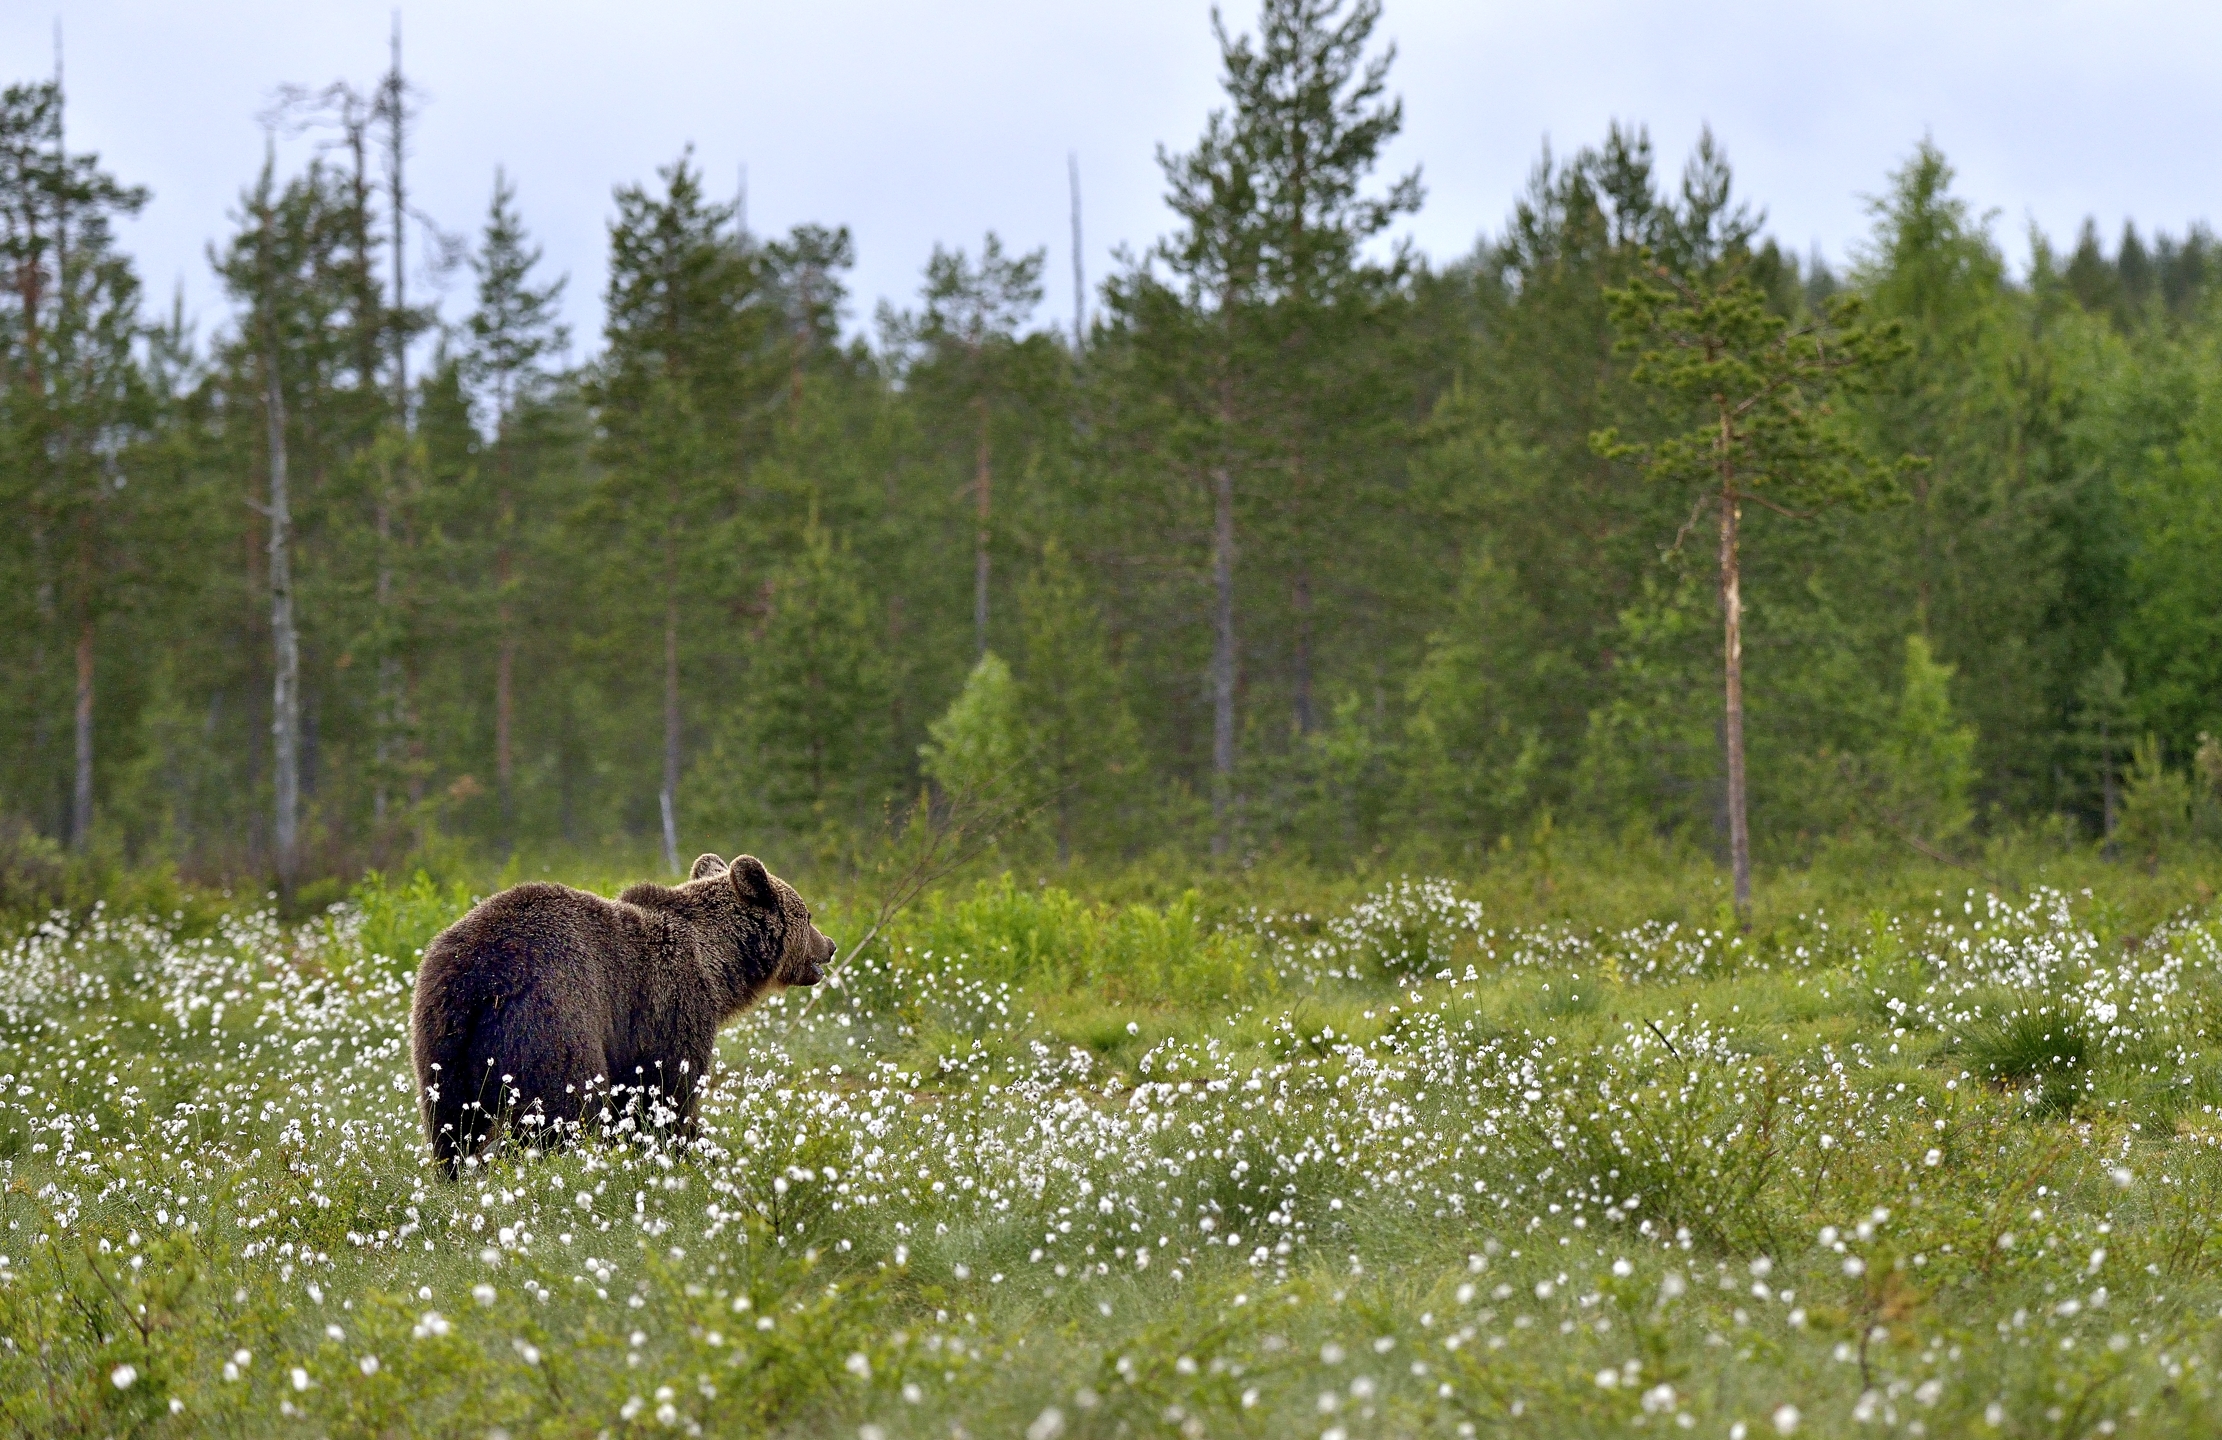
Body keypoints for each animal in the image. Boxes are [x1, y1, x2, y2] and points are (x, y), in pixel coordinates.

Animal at [409, 852, 834, 1174]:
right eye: (808, 915)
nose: (829, 945)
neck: (716, 964)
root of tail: (479, 976)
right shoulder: (668, 1003)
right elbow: (665, 1090)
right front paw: (687, 1150)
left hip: (442, 1037)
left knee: (450, 1125)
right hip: (552, 1018)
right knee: (566, 1107)